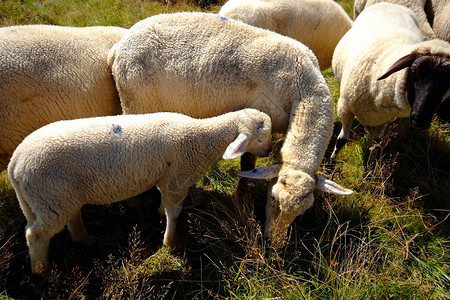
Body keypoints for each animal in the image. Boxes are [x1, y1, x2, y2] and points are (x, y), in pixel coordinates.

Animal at [7, 108, 274, 276]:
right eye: (261, 139)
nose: (269, 152)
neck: (201, 138)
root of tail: (16, 162)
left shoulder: (165, 178)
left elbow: (164, 203)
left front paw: (159, 213)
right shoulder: (177, 179)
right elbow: (174, 213)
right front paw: (170, 243)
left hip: (55, 196)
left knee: (70, 217)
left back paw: (85, 239)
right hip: (49, 195)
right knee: (36, 235)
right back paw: (42, 272)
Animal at [107, 11, 354, 243]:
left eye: (304, 211)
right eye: (272, 198)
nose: (272, 243)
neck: (303, 89)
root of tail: (119, 47)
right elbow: (248, 163)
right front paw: (242, 195)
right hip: (136, 102)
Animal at [328, 2, 450, 162]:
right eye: (413, 70)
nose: (421, 118)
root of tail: (392, 4)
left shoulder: (384, 117)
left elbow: (377, 143)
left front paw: (372, 163)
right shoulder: (345, 108)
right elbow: (341, 140)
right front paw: (332, 161)